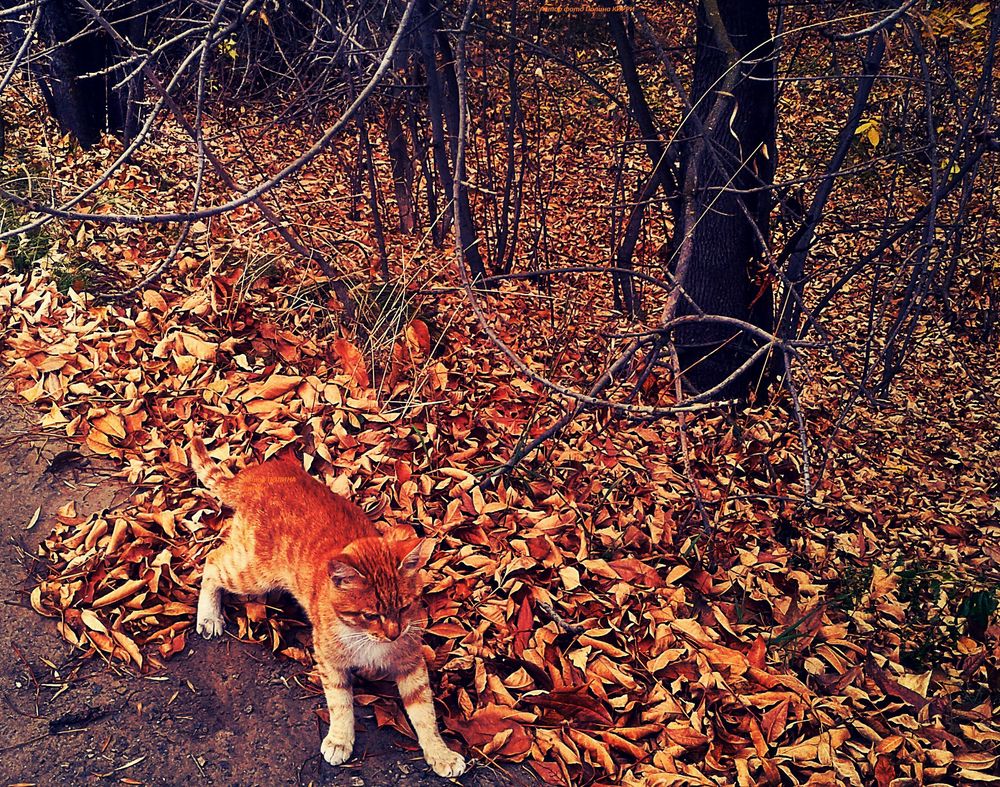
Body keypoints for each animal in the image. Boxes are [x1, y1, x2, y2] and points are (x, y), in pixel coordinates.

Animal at [189, 440, 466, 780]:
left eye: (404, 607)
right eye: (370, 615)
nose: (393, 633)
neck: (365, 640)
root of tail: (259, 474)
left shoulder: (410, 662)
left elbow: (424, 713)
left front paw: (440, 753)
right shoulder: (329, 660)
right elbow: (340, 703)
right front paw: (339, 740)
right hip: (251, 573)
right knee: (212, 561)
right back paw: (209, 616)